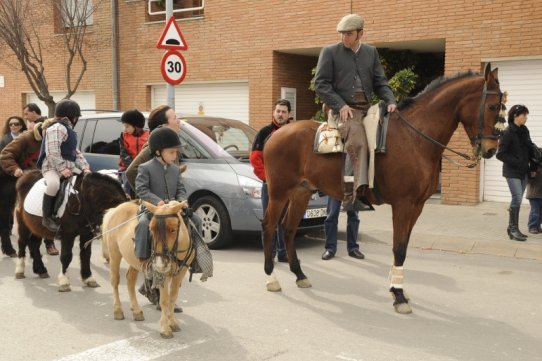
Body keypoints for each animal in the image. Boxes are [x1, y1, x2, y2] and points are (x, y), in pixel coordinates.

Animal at [102, 200, 196, 338]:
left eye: (173, 230)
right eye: (151, 229)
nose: (160, 263)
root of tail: (115, 209)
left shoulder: (181, 272)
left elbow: (173, 297)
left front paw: (172, 322)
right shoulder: (162, 274)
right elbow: (164, 300)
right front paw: (165, 328)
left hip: (134, 261)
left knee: (130, 280)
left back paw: (136, 311)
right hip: (114, 254)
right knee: (115, 281)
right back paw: (118, 310)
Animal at [262, 63, 504, 314]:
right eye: (493, 106)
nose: (491, 149)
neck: (415, 138)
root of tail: (276, 133)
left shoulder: (417, 207)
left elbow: (404, 246)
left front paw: (397, 287)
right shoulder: (403, 205)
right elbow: (399, 248)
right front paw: (398, 295)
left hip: (301, 193)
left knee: (288, 229)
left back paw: (299, 274)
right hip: (279, 193)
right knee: (269, 226)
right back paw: (271, 278)